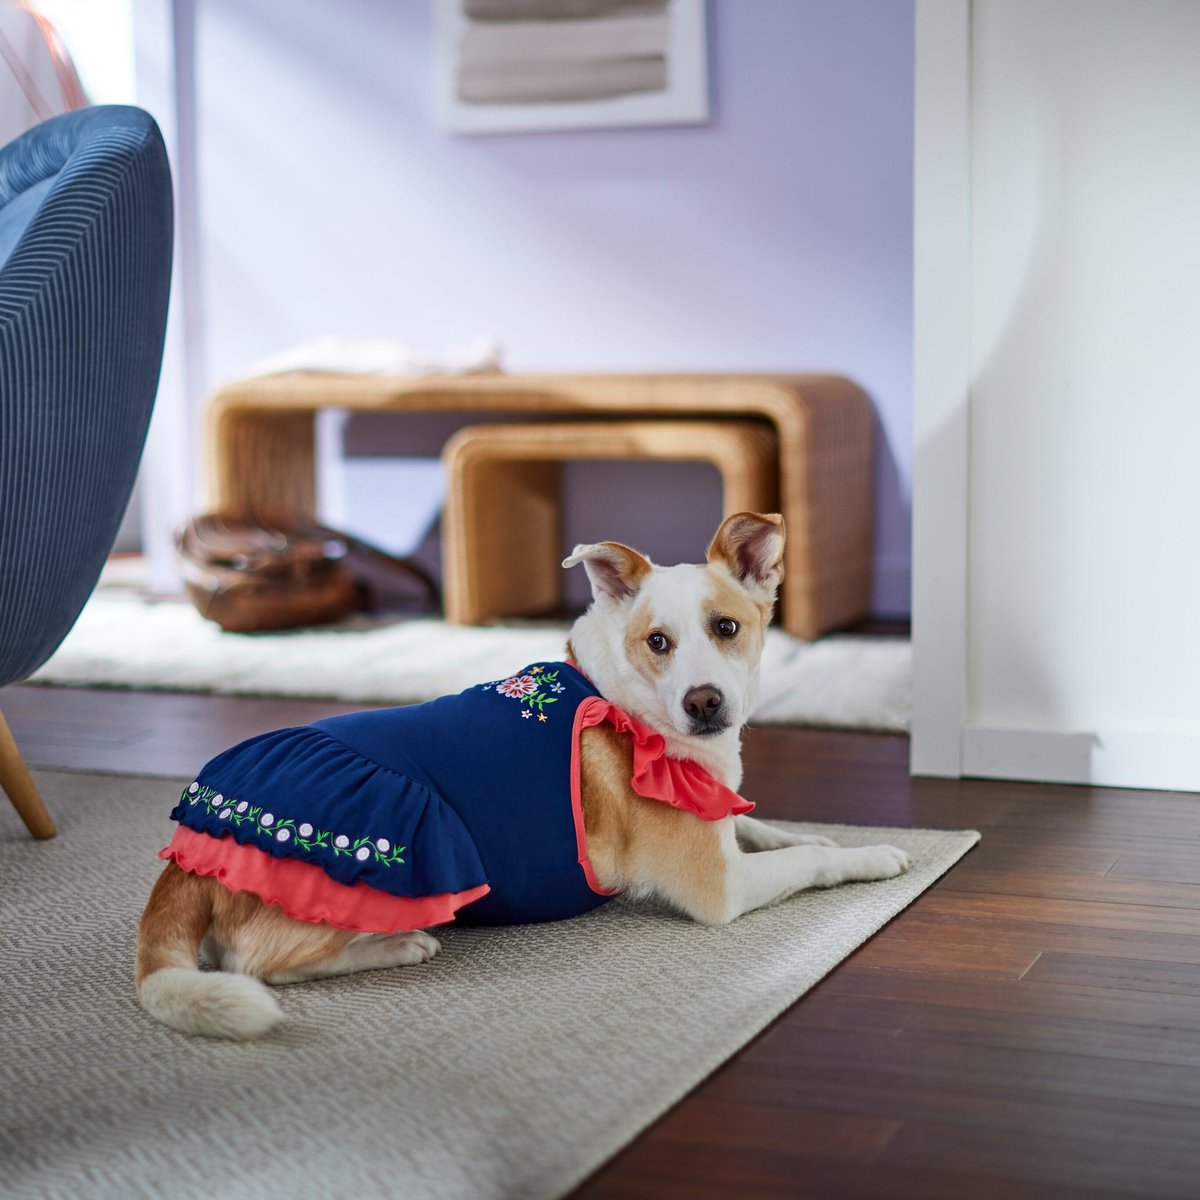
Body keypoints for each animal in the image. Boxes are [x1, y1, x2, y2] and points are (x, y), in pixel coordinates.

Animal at [136, 516, 907, 1041]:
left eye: (726, 627)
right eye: (657, 642)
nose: (705, 703)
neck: (630, 706)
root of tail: (190, 851)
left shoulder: (720, 821)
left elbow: (771, 826)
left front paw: (829, 838)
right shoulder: (722, 886)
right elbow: (810, 863)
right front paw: (871, 856)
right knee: (251, 962)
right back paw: (395, 946)